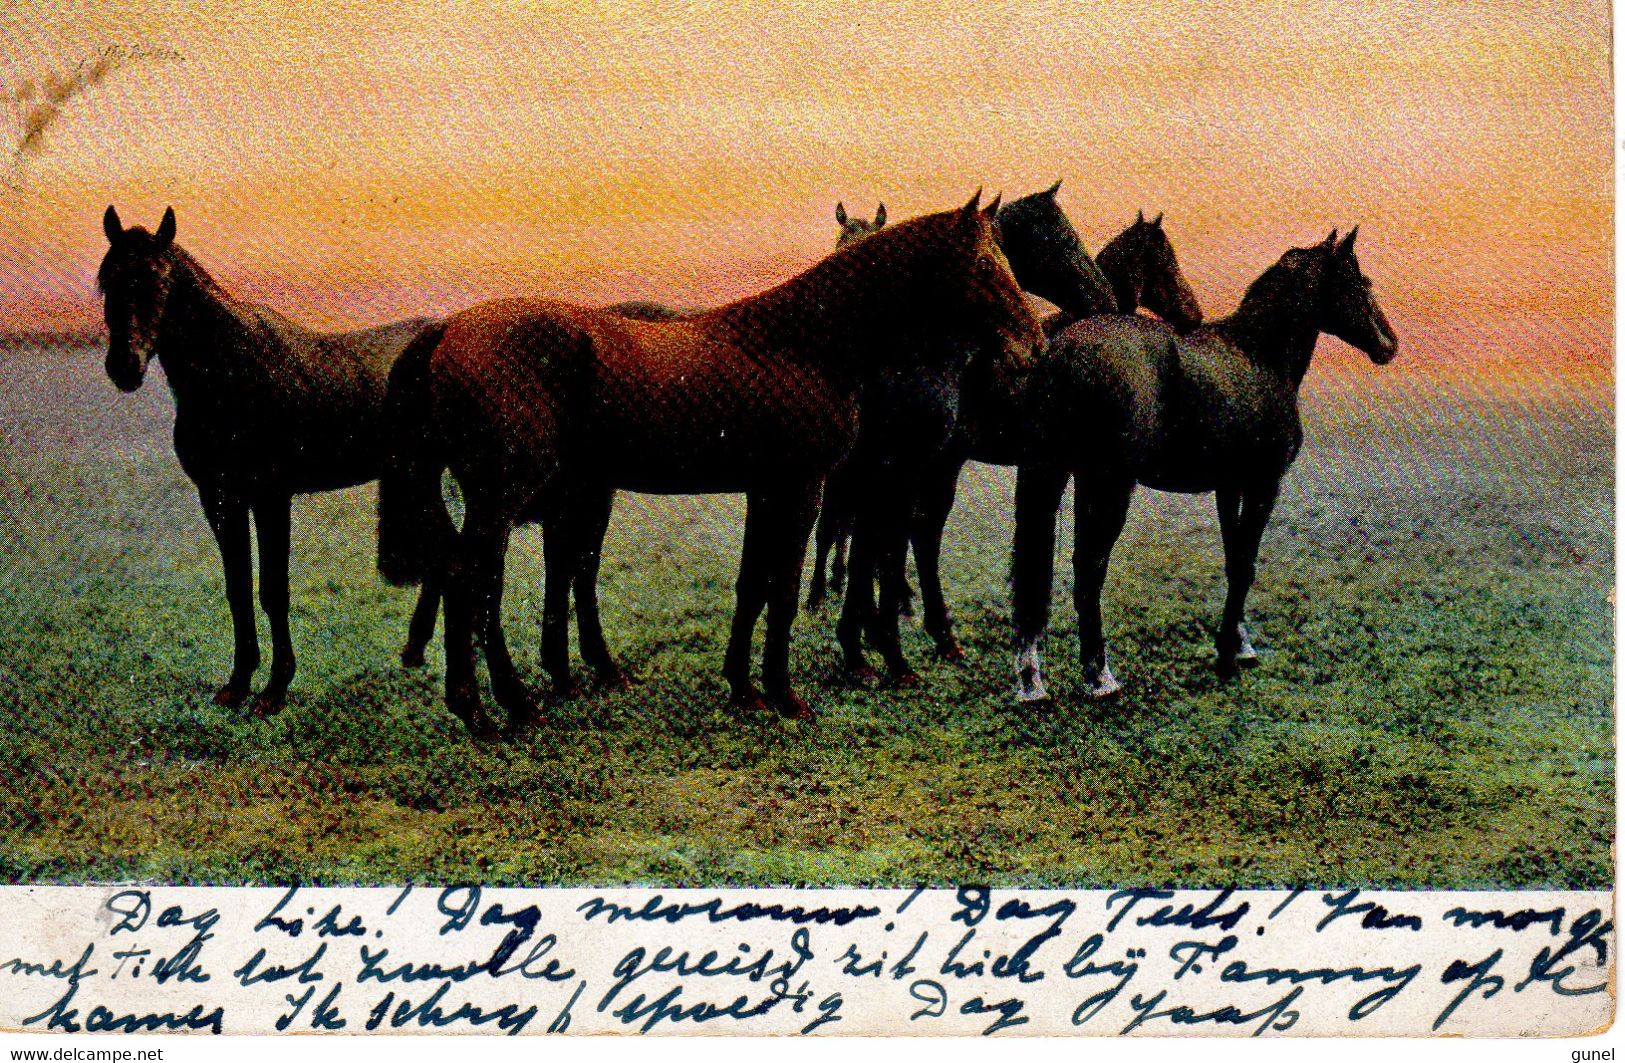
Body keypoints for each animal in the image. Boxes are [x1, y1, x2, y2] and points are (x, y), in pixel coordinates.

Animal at [98, 206, 448, 715]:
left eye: (161, 281)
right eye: (107, 280)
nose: (125, 366)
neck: (232, 375)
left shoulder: (271, 495)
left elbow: (272, 589)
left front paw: (275, 689)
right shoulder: (219, 496)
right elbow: (238, 587)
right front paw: (238, 683)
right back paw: (415, 651)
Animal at [373, 193, 1046, 734]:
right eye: (985, 264)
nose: (1034, 345)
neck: (805, 343)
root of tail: (449, 330)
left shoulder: (768, 491)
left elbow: (754, 584)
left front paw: (745, 688)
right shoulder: (802, 489)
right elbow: (784, 586)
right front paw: (785, 694)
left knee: (489, 577)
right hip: (502, 497)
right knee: (473, 580)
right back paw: (494, 707)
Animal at [1001, 229, 1397, 705]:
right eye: (1359, 282)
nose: (1389, 344)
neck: (1257, 354)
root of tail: (1066, 350)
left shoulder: (1229, 486)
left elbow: (1232, 560)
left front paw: (1238, 643)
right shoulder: (1264, 484)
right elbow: (1245, 563)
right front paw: (1228, 653)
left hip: (1053, 471)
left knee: (1035, 572)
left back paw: (1031, 679)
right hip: (1107, 483)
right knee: (1089, 569)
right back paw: (1100, 677)